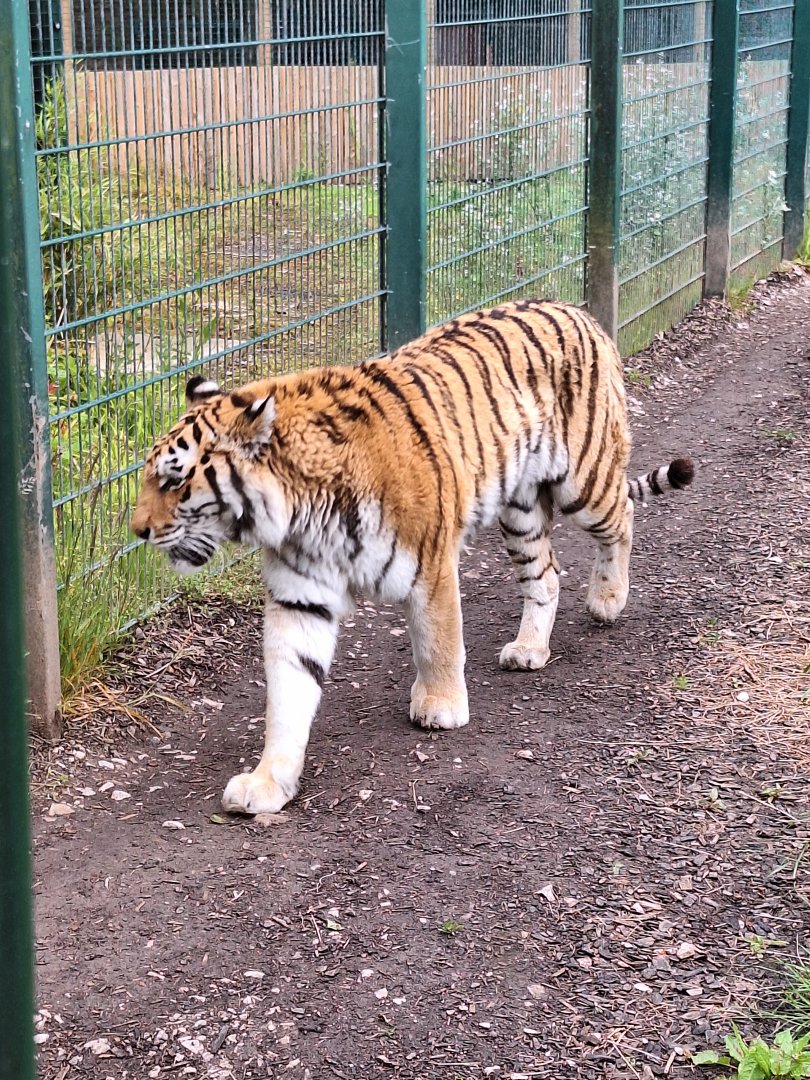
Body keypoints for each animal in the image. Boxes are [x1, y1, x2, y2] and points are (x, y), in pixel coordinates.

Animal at [131, 299, 694, 816]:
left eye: (173, 480)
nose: (138, 531)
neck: (299, 510)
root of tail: (579, 311)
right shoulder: (300, 598)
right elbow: (288, 691)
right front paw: (269, 781)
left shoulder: (431, 564)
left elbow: (437, 642)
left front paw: (440, 706)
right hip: (521, 511)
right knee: (546, 576)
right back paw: (529, 648)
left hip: (584, 481)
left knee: (623, 515)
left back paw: (608, 599)